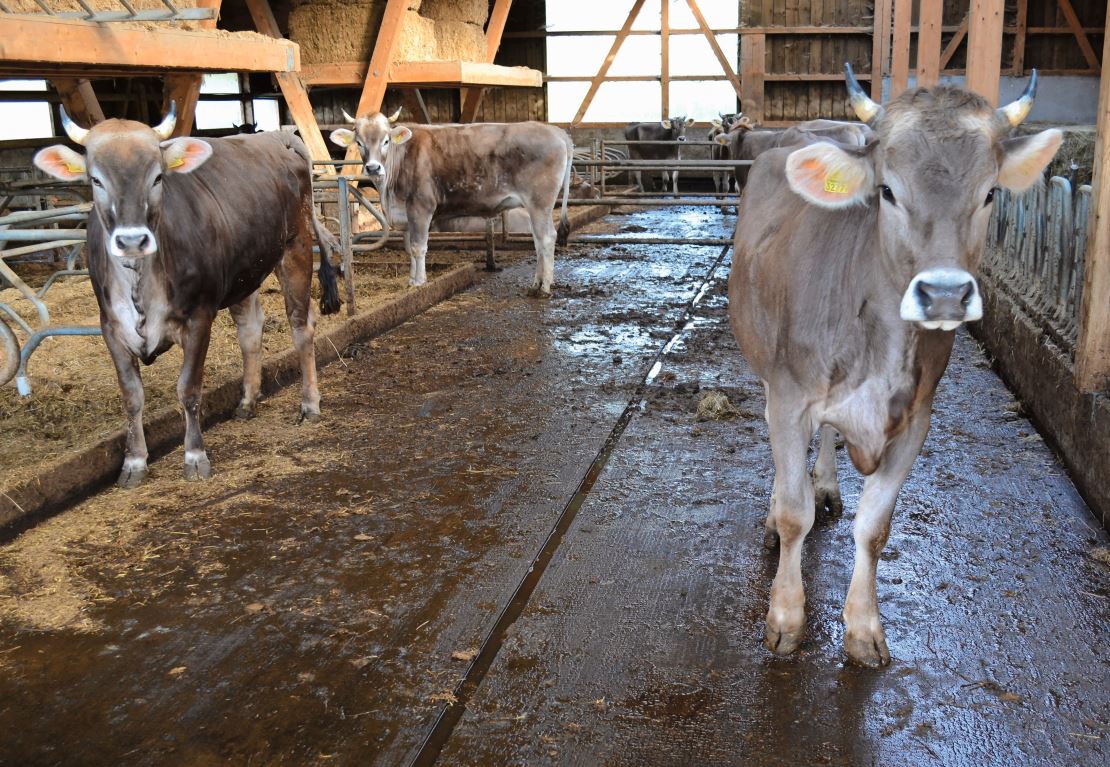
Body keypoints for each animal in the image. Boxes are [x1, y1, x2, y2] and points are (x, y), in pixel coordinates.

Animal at [33, 103, 337, 486]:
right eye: (95, 179)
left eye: (157, 177)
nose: (131, 240)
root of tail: (276, 137)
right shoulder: (110, 327)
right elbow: (131, 396)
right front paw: (134, 462)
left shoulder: (198, 317)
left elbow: (189, 389)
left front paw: (195, 456)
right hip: (245, 270)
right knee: (251, 330)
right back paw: (247, 401)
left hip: (295, 249)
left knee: (301, 326)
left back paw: (309, 404)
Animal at [732, 69, 1061, 670]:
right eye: (887, 191)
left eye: (990, 193)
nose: (946, 294)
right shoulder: (789, 400)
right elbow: (793, 515)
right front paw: (785, 618)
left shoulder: (915, 421)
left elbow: (874, 528)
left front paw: (863, 628)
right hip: (766, 366)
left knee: (829, 439)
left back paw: (827, 483)